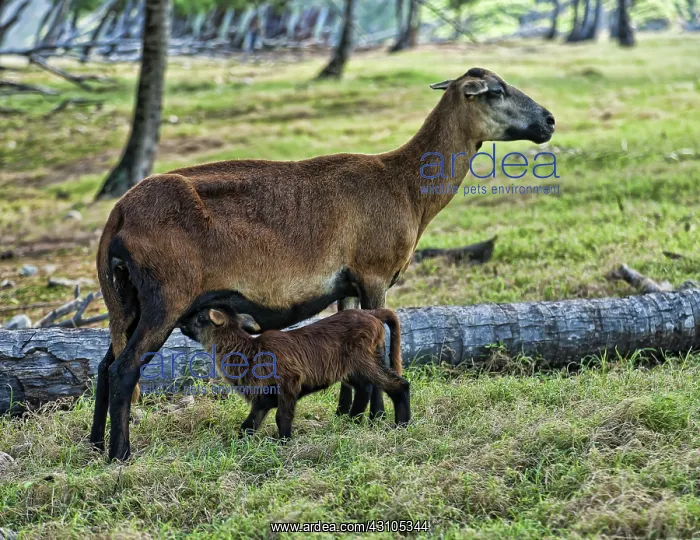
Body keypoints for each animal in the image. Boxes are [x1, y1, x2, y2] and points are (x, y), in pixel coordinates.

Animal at [179, 307, 410, 439]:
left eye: (200, 318)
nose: (181, 324)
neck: (248, 351)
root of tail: (373, 314)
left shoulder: (289, 381)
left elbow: (282, 417)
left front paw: (284, 442)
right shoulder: (265, 396)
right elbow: (249, 423)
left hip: (364, 360)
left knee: (398, 385)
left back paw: (402, 425)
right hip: (352, 369)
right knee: (365, 389)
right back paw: (351, 422)